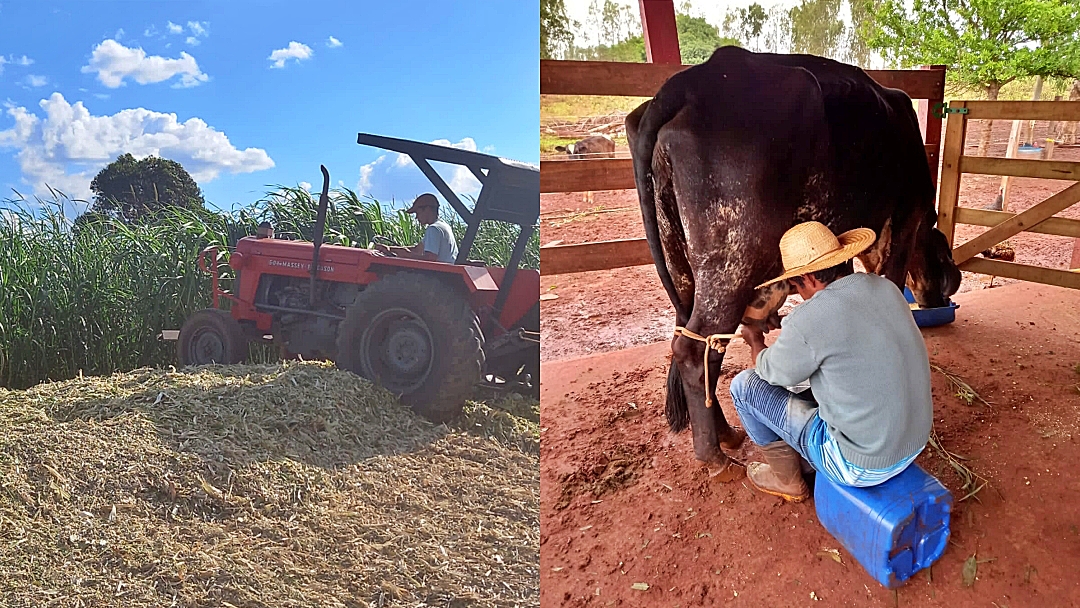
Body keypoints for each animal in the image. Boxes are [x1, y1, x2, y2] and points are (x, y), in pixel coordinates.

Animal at [626, 47, 963, 481]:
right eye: (942, 256)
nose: (939, 297)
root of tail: (686, 84)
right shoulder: (904, 220)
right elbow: (889, 280)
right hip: (732, 261)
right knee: (693, 349)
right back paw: (713, 454)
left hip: (682, 267)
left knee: (696, 345)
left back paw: (726, 434)